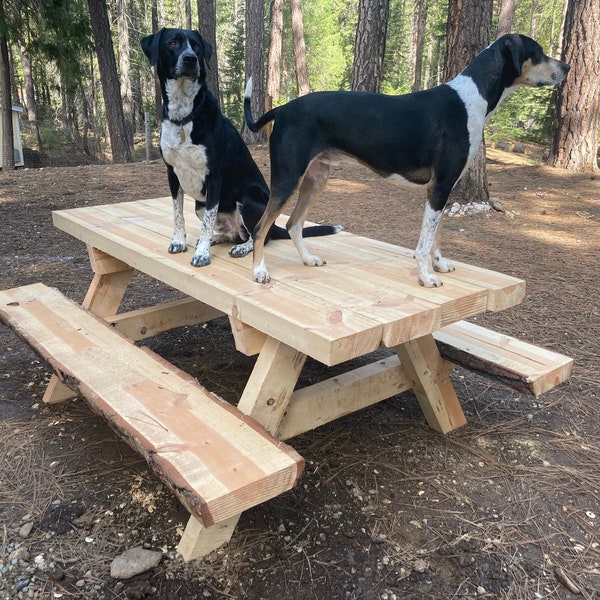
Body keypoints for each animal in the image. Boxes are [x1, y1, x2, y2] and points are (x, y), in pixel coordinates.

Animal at [138, 28, 340, 268]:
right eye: (173, 43)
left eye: (196, 46)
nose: (190, 59)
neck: (184, 116)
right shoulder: (172, 173)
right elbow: (178, 213)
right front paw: (179, 241)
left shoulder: (214, 177)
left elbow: (208, 222)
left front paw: (202, 254)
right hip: (199, 203)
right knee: (232, 233)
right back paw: (217, 239)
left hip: (248, 195)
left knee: (259, 234)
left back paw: (241, 247)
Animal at [243, 35, 568, 288]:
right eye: (538, 53)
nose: (566, 67)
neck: (472, 99)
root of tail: (282, 108)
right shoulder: (438, 187)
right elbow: (424, 242)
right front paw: (426, 277)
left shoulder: (445, 189)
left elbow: (437, 235)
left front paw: (440, 264)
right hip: (287, 178)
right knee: (261, 228)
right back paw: (259, 272)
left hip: (315, 179)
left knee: (294, 224)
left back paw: (308, 259)